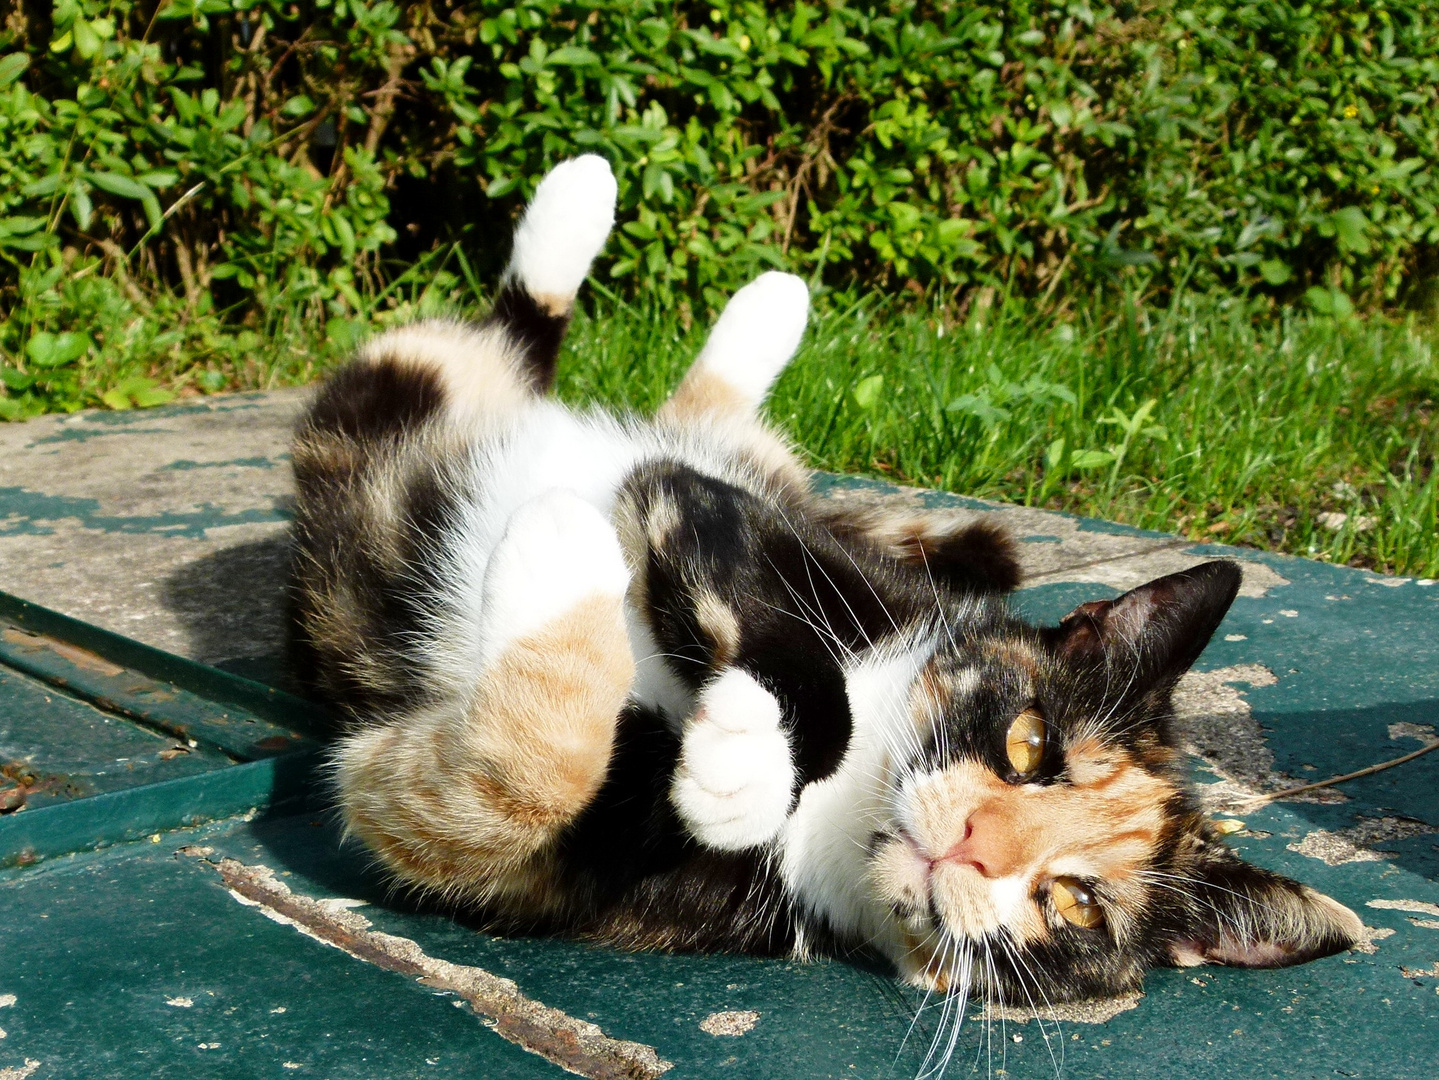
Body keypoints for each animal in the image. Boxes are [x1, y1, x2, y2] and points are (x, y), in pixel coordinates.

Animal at [289, 156, 1358, 1018]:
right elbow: (799, 657)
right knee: (530, 347)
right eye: (1029, 742)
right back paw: (641, 231)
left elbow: (519, 779)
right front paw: (743, 746)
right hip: (410, 389)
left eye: (1076, 904)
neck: (840, 812)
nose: (971, 844)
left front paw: (560, 566)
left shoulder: (517, 858)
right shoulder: (718, 511)